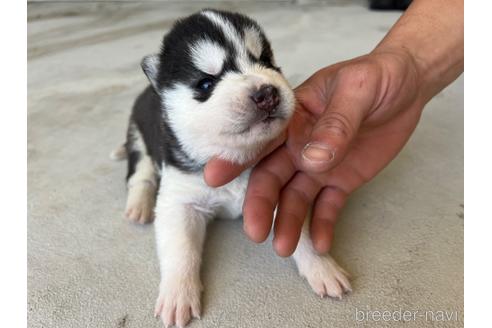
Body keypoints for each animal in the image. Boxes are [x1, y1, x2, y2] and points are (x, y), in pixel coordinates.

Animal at [114, 9, 352, 326]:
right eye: (205, 83)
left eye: (265, 60)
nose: (267, 93)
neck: (235, 158)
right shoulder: (179, 200)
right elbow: (180, 250)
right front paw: (178, 294)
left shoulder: (277, 189)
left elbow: (300, 234)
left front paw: (322, 267)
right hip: (138, 136)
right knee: (139, 175)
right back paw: (138, 206)